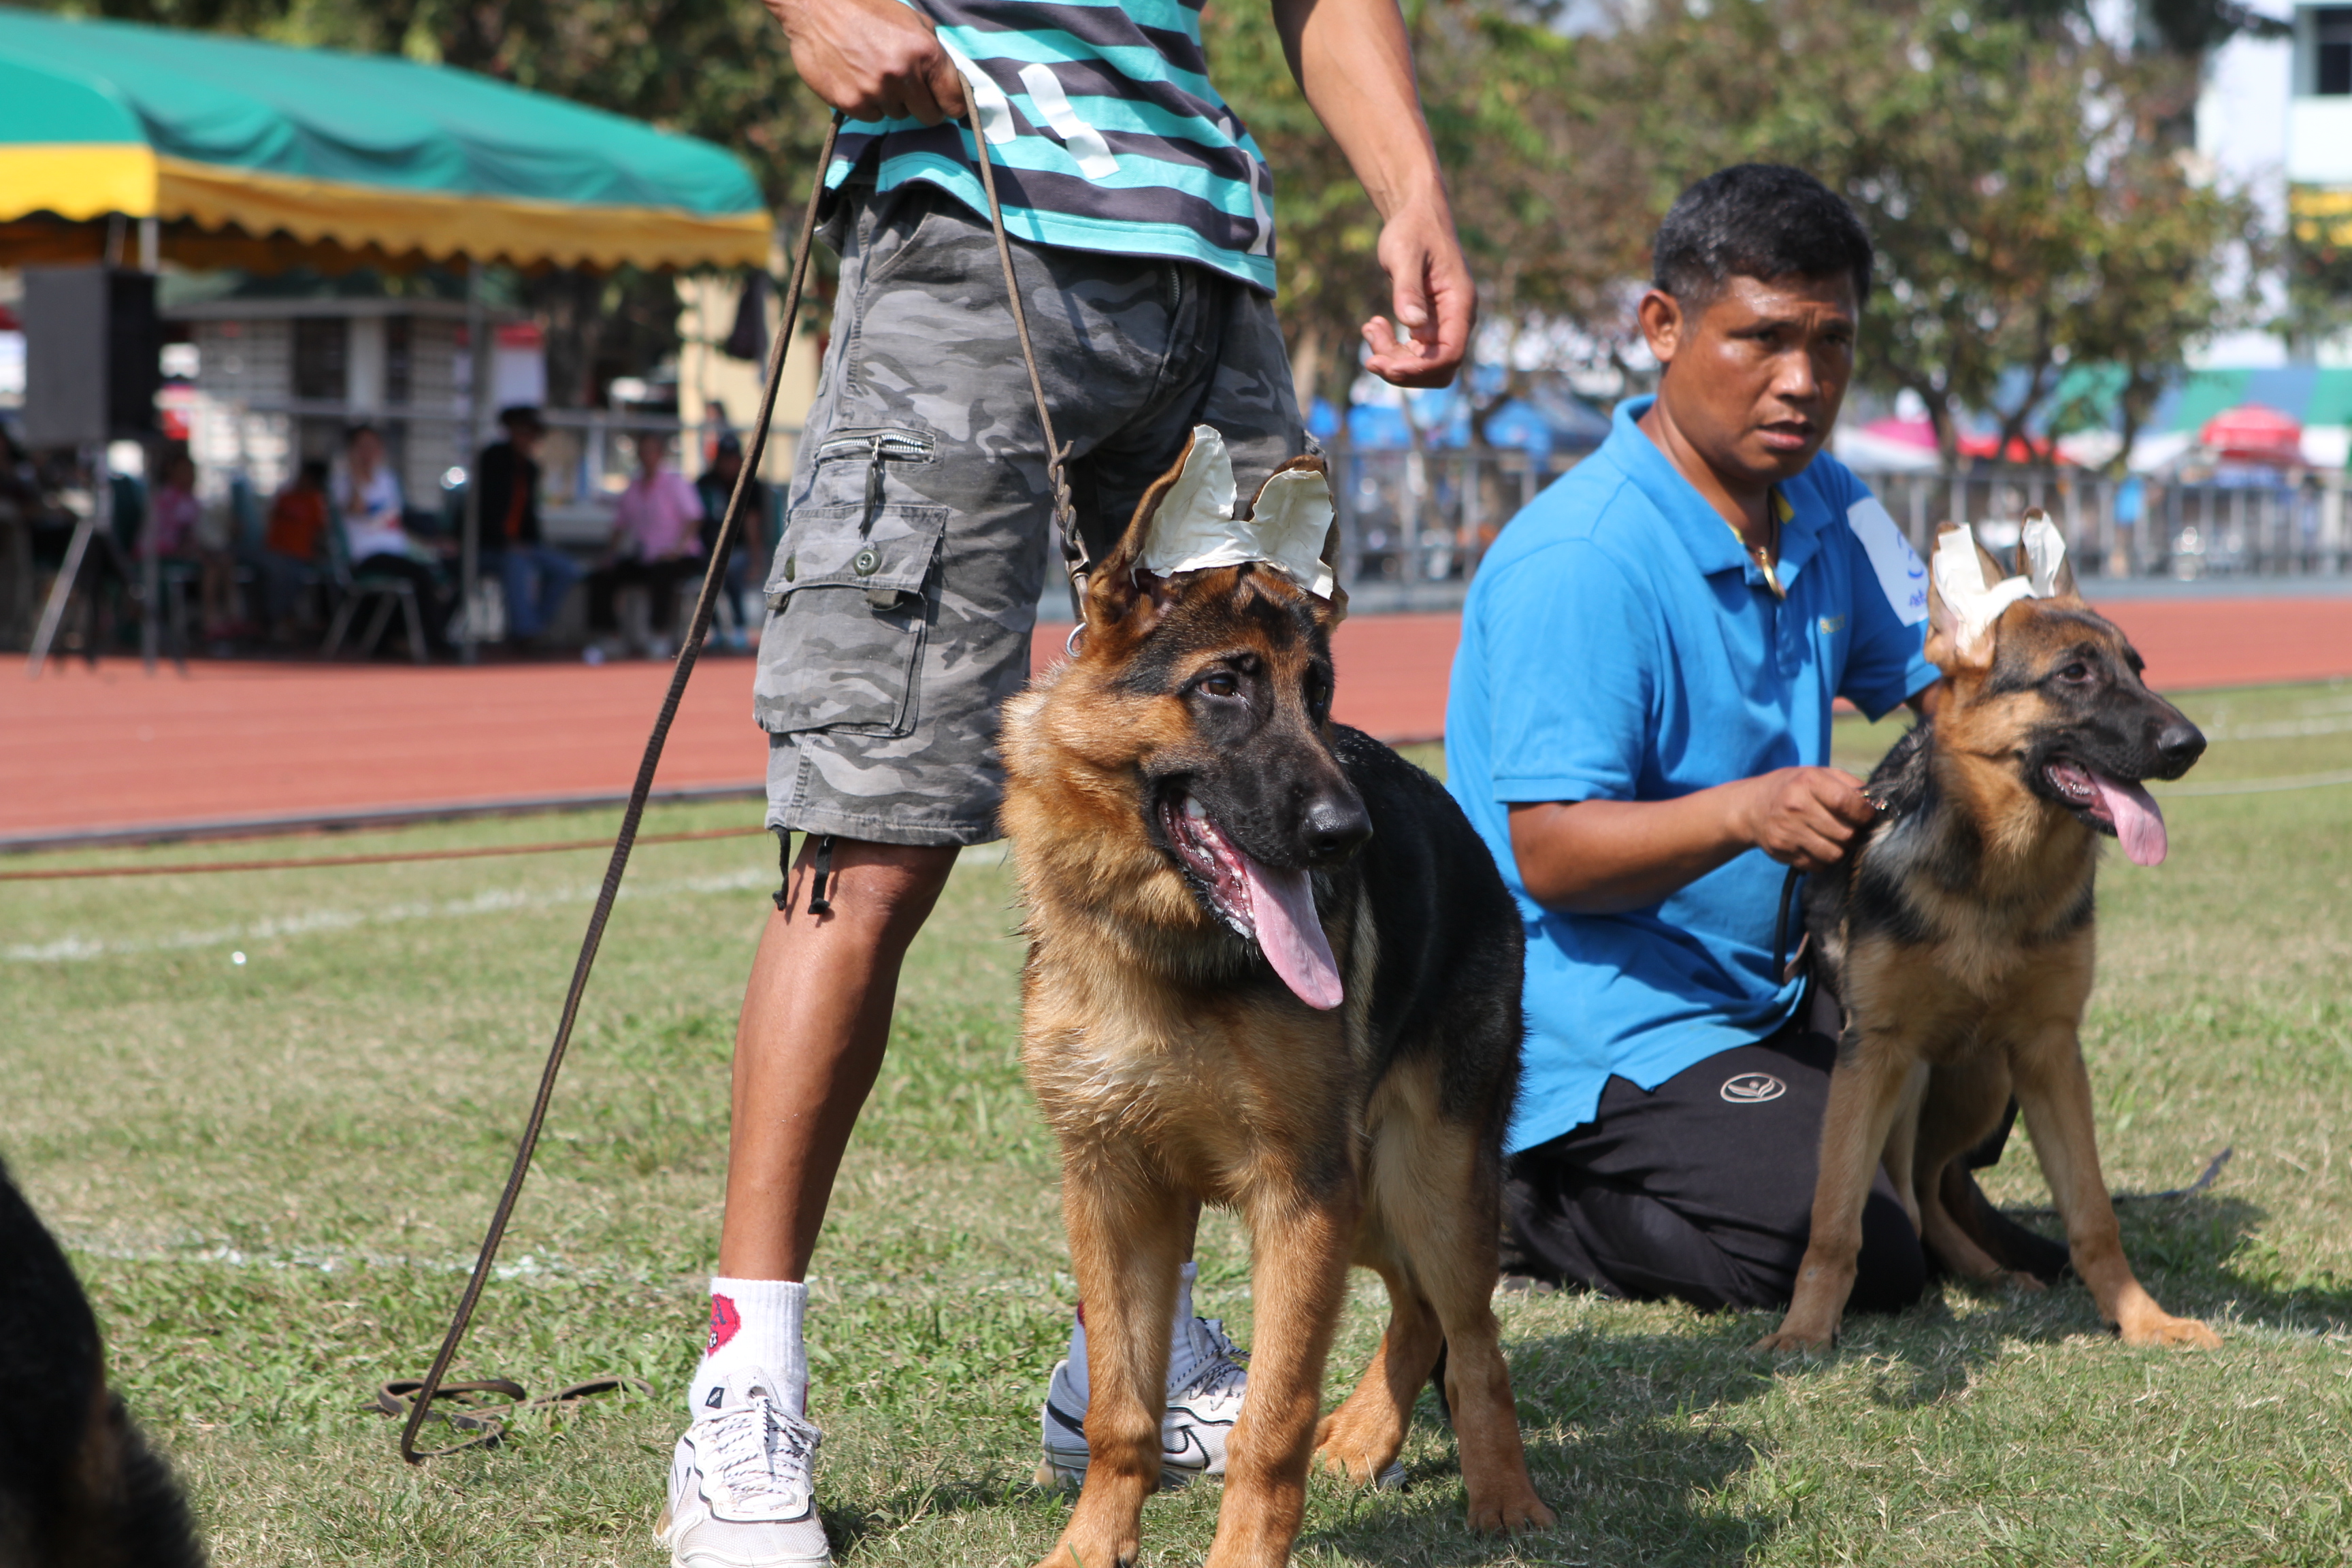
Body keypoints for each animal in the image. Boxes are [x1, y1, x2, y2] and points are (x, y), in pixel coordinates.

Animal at [1000, 430, 1554, 1568]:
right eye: (1224, 686)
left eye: (1321, 691)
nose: (1350, 836)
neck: (1171, 958)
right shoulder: (1115, 1192)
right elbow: (1122, 1408)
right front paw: (1091, 1544)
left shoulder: (1298, 1196)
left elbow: (1274, 1418)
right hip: (1371, 1195)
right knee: (1419, 1311)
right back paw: (1374, 1436)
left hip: (1422, 1178)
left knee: (1473, 1332)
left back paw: (1505, 1497)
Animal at [1757, 516, 2220, 1353]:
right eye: (2075, 674)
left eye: (2137, 670)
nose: (2190, 744)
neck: (1996, 880)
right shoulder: (1873, 1054)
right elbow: (1836, 1220)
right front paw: (1806, 1332)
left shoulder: (2049, 1052)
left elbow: (2094, 1215)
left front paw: (2142, 1319)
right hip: (1912, 1080)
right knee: (1908, 1192)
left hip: (1981, 1081)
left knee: (1930, 1186)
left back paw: (1986, 1273)